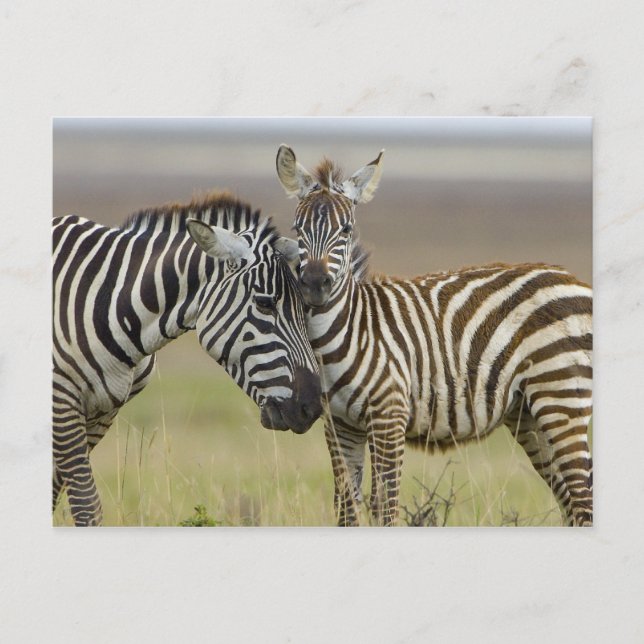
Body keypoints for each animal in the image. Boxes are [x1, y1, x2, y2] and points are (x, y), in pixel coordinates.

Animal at [53, 191, 322, 526]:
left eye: (305, 309)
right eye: (265, 303)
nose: (312, 407)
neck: (108, 304)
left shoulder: (102, 411)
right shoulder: (62, 401)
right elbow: (86, 504)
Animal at [276, 144, 593, 527]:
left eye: (347, 229)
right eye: (297, 228)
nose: (315, 284)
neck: (343, 333)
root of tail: (574, 280)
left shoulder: (389, 416)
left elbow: (386, 507)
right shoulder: (339, 426)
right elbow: (347, 510)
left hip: (562, 398)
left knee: (583, 499)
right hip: (530, 415)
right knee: (572, 502)